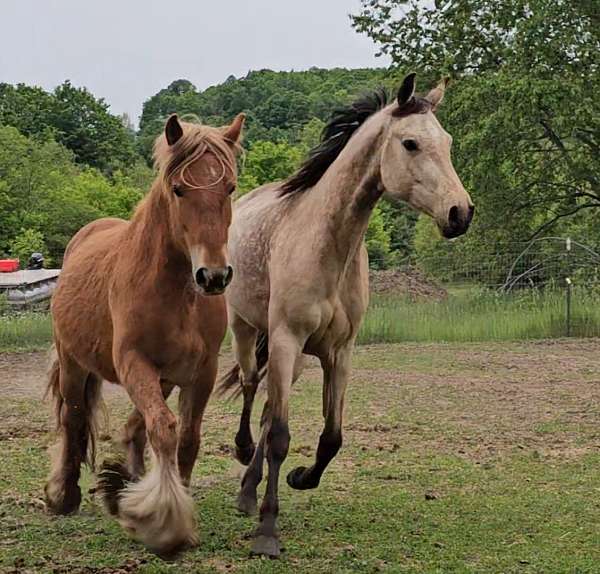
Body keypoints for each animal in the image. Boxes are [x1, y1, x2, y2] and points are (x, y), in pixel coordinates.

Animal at [219, 74, 474, 556]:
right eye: (410, 143)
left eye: (448, 142)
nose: (461, 212)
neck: (327, 246)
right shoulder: (286, 339)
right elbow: (280, 436)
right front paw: (267, 531)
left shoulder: (339, 352)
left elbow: (331, 436)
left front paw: (301, 478)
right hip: (247, 330)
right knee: (249, 387)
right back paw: (243, 461)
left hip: (295, 360)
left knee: (266, 406)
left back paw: (247, 489)